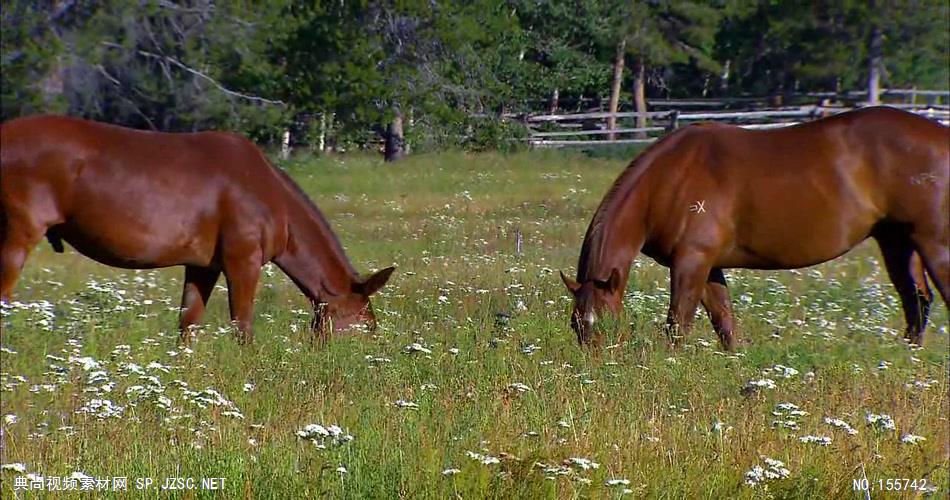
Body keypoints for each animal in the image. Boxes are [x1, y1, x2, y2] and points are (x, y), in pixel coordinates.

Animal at [0, 116, 394, 344]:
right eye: (367, 327)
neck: (272, 196)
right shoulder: (242, 261)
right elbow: (242, 327)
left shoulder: (203, 266)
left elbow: (188, 325)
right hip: (16, 237)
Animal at [560, 106, 948, 348]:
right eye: (576, 325)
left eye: (606, 323)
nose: (596, 366)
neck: (671, 178)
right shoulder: (708, 265)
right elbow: (724, 323)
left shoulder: (691, 261)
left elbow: (679, 324)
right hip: (897, 241)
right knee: (917, 300)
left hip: (933, 242)